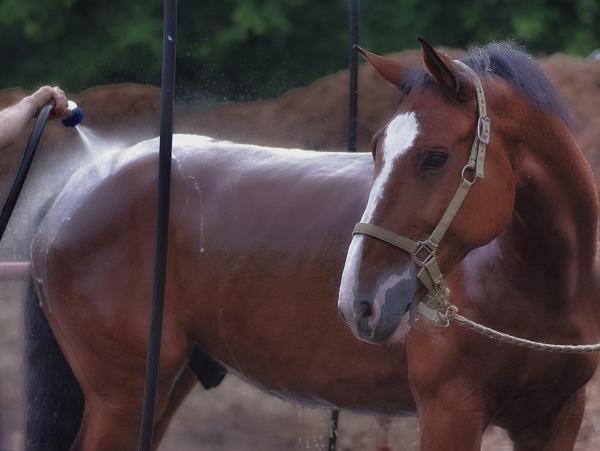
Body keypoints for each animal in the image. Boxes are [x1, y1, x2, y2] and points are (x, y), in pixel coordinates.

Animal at [30, 39, 596, 451]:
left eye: (434, 158)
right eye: (375, 149)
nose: (358, 302)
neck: (535, 289)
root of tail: (78, 187)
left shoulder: (554, 422)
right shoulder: (450, 412)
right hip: (123, 396)